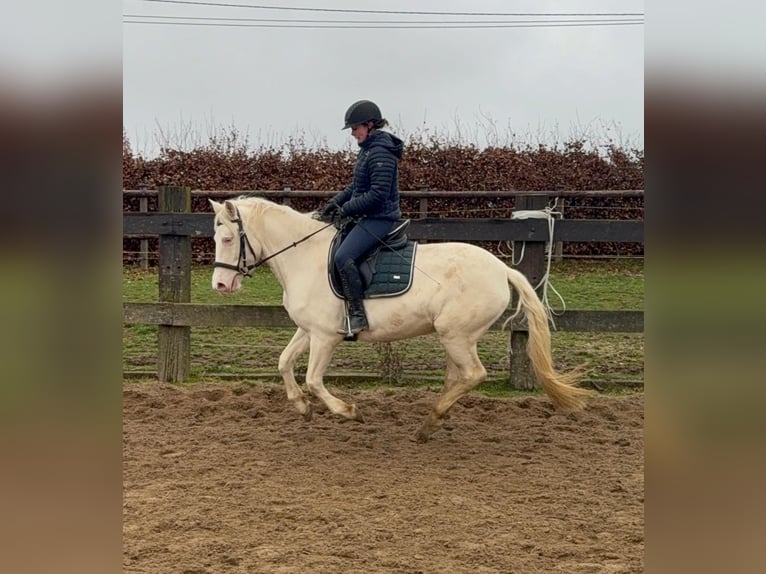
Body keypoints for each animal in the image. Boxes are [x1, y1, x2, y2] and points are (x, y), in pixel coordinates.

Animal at [209, 196, 591, 442]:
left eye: (227, 238)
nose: (220, 285)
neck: (306, 257)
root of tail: (501, 268)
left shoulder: (326, 337)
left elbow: (314, 380)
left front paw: (350, 411)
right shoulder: (308, 330)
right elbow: (284, 362)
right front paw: (302, 409)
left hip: (456, 335)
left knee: (473, 374)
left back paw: (430, 422)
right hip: (456, 337)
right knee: (458, 377)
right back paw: (432, 422)